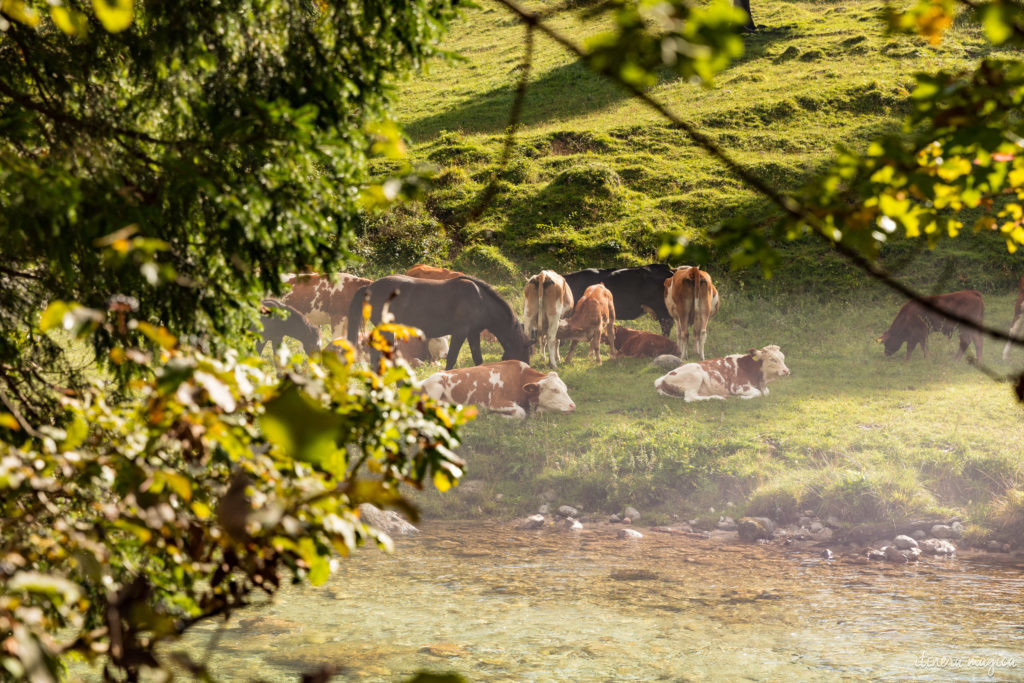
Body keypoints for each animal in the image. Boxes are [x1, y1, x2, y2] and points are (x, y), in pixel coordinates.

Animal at [348, 272, 532, 370]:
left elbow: (478, 358)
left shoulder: (473, 333)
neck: (480, 300)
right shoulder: (460, 333)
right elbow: (451, 357)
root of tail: (370, 287)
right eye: (526, 352)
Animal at [417, 360, 577, 419]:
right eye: (554, 390)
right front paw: (495, 416)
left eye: (565, 389)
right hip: (436, 386)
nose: (572, 405)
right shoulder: (496, 401)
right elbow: (520, 413)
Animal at [655, 344, 790, 403]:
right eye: (772, 359)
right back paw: (719, 397)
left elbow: (765, 393)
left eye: (783, 358)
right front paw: (742, 397)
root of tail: (664, 378)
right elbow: (757, 393)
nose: (786, 371)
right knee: (690, 397)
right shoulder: (737, 386)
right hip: (695, 375)